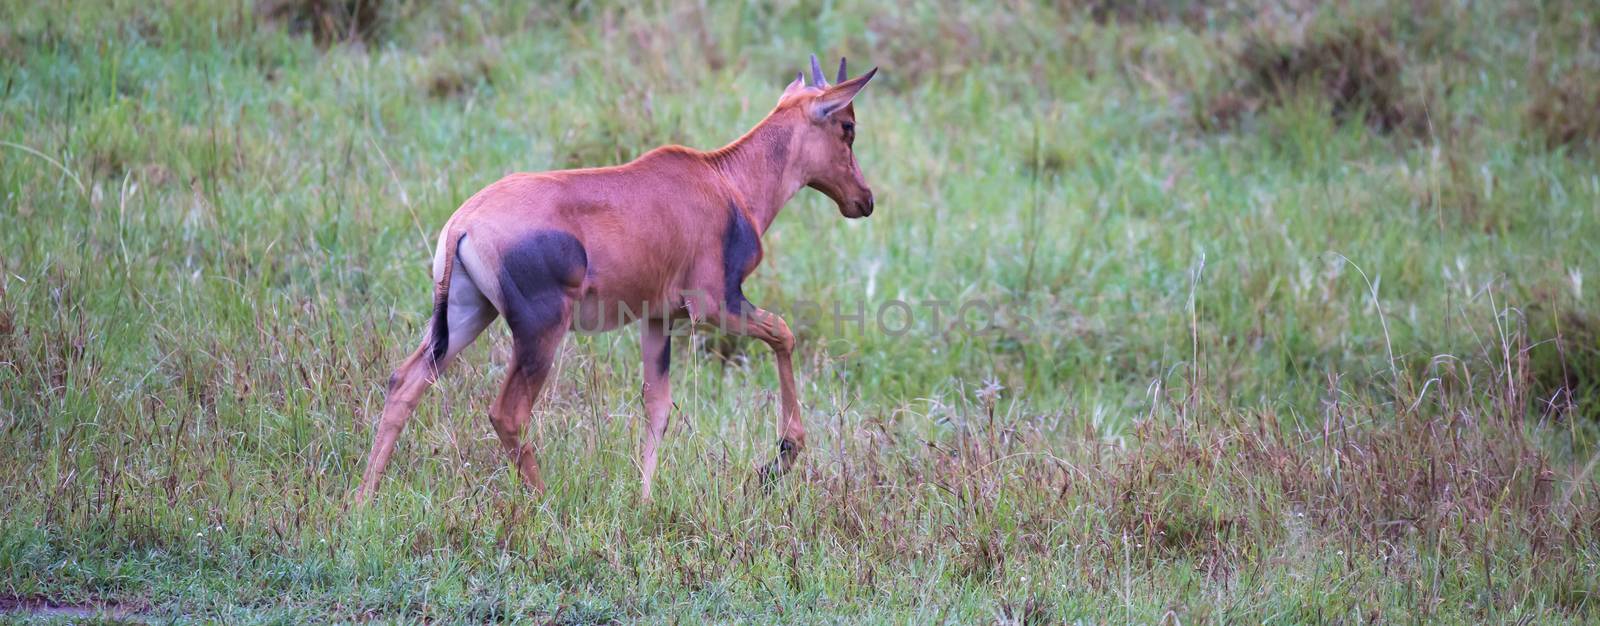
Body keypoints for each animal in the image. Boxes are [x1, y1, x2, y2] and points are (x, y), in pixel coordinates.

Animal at [358, 55, 883, 505]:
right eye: (848, 126)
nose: (865, 199)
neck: (723, 180)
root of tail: (462, 222)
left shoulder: (659, 318)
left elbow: (658, 405)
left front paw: (645, 499)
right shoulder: (716, 305)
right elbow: (783, 332)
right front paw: (780, 457)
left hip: (468, 313)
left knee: (406, 380)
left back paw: (362, 500)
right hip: (540, 330)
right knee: (507, 413)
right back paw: (546, 505)